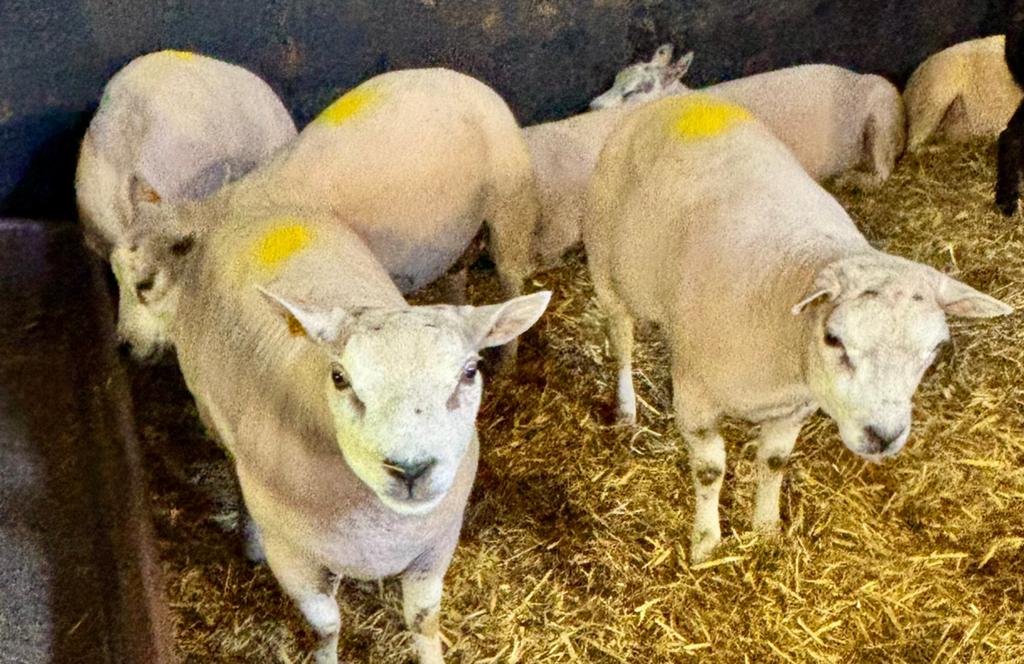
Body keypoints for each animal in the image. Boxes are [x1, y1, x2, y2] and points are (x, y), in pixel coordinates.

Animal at [119, 68, 539, 364]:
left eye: (145, 284)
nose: (124, 348)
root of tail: (478, 87)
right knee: (457, 274)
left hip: (510, 206)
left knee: (511, 279)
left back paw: (507, 361)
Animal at [136, 207, 550, 664]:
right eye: (339, 377)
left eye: (470, 371)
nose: (410, 469)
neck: (382, 525)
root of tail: (260, 212)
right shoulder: (295, 561)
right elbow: (327, 627)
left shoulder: (436, 546)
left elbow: (424, 621)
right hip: (211, 411)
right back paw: (250, 539)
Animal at [525, 47, 904, 268]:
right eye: (616, 79)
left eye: (635, 90)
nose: (592, 107)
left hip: (882, 110)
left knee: (883, 169)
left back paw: (856, 179)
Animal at [582, 93, 1013, 564]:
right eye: (834, 339)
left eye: (934, 350)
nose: (883, 436)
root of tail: (675, 99)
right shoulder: (696, 401)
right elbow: (710, 470)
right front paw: (706, 543)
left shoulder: (795, 407)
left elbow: (774, 462)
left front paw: (766, 528)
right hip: (605, 270)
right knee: (622, 343)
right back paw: (626, 408)